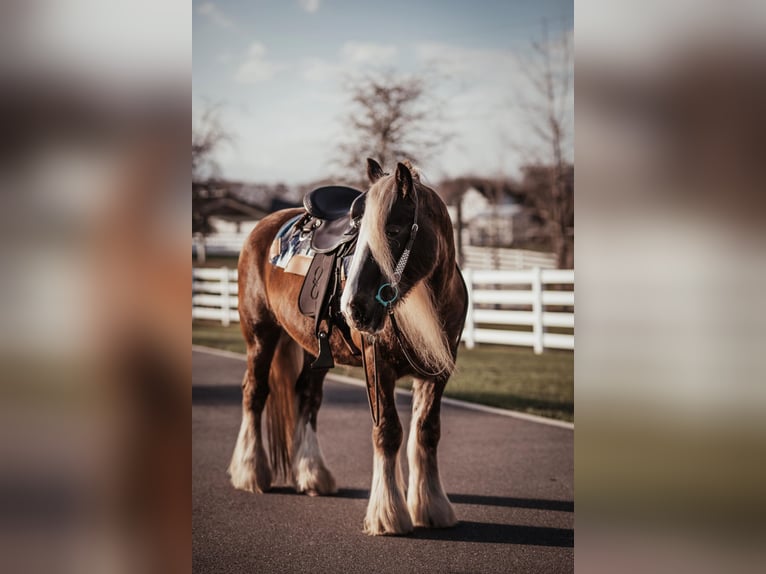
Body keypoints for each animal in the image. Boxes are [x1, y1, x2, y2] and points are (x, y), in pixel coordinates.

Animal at [226, 158, 468, 536]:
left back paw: (312, 474)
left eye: (393, 230)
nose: (354, 307)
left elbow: (427, 433)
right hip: (260, 336)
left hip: (313, 350)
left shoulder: (436, 372)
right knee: (255, 392)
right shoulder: (378, 366)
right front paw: (388, 514)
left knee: (307, 398)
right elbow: (388, 432)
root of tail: (263, 226)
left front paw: (431, 507)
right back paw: (251, 472)